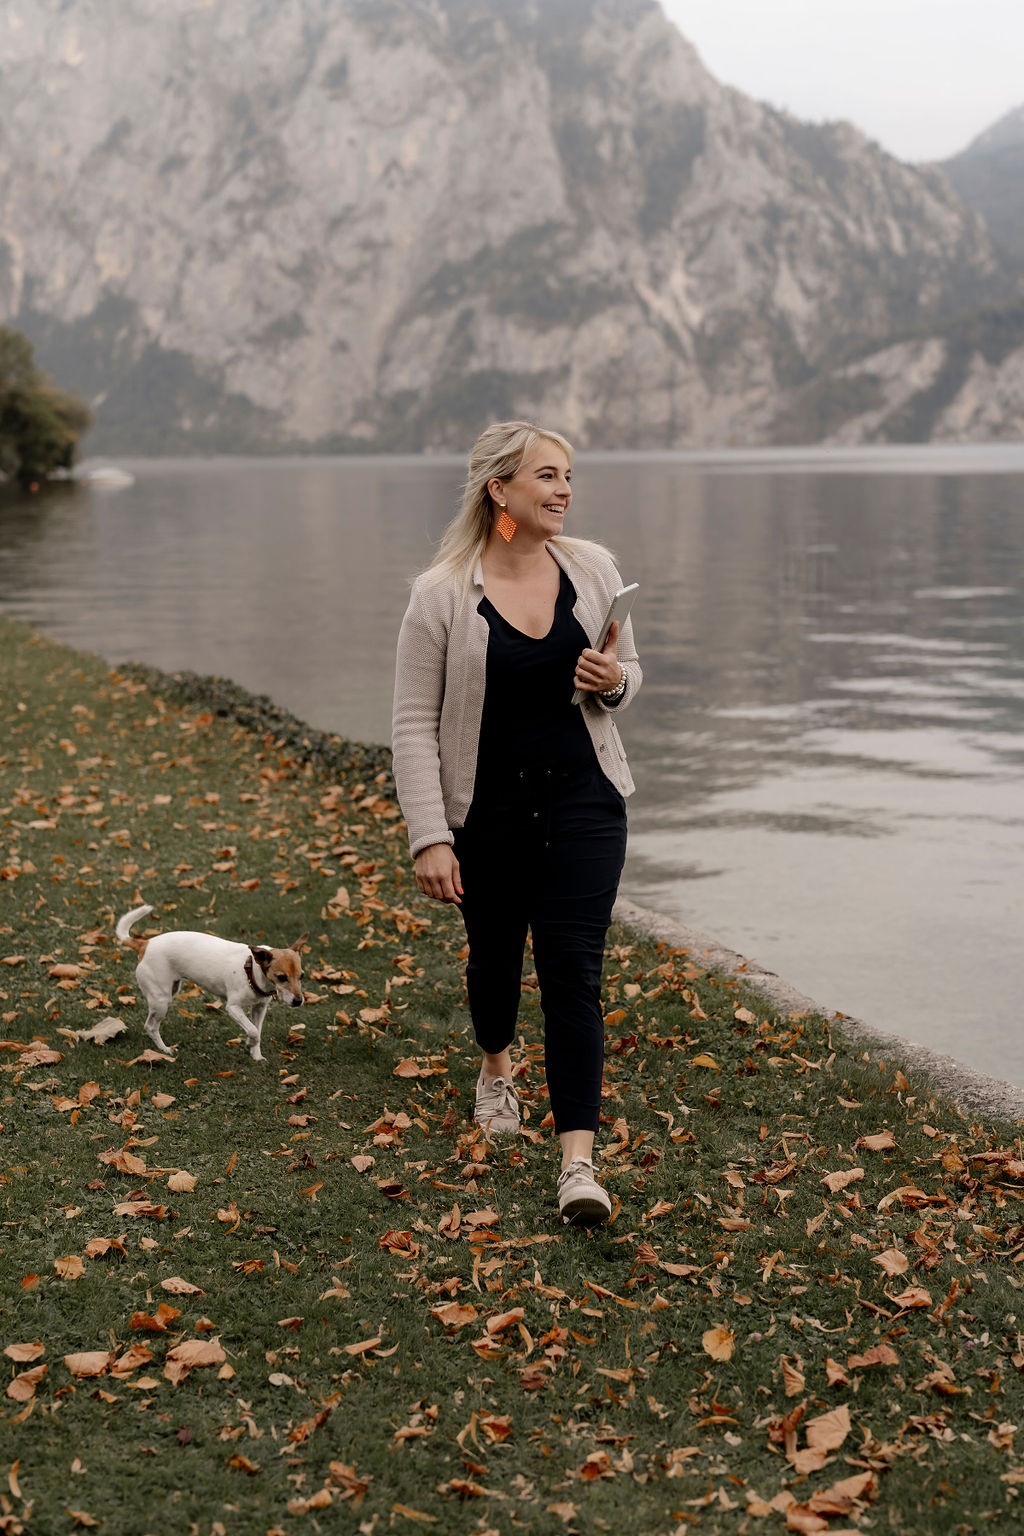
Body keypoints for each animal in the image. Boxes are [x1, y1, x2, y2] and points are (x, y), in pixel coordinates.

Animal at [115, 903, 307, 1062]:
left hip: (171, 990)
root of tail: (145, 944)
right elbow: (253, 1031)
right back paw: (165, 1050)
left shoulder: (259, 1008)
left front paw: (256, 1054)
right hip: (161, 1000)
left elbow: (256, 1030)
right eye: (282, 977)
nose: (299, 1001)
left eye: (302, 976)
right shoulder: (233, 1008)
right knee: (150, 1026)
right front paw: (249, 1042)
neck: (252, 970)